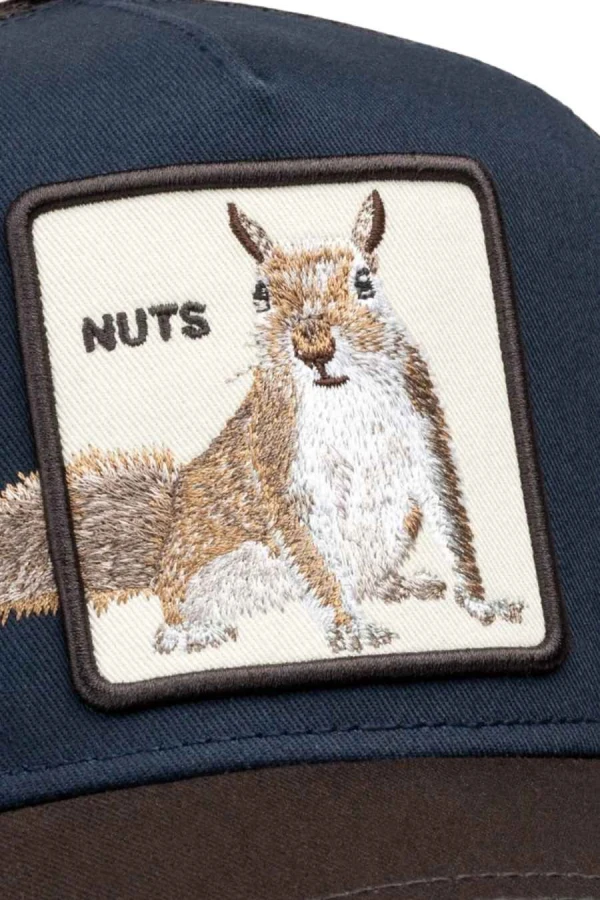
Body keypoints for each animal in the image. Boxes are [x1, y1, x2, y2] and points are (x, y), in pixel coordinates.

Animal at [0, 190, 523, 653]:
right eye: (261, 294)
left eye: (365, 283)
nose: (314, 348)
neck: (345, 400)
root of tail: (164, 554)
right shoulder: (280, 466)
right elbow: (314, 561)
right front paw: (351, 629)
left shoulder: (426, 436)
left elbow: (453, 526)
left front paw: (482, 603)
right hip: (221, 572)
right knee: (175, 616)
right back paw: (191, 635)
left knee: (368, 579)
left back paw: (398, 585)